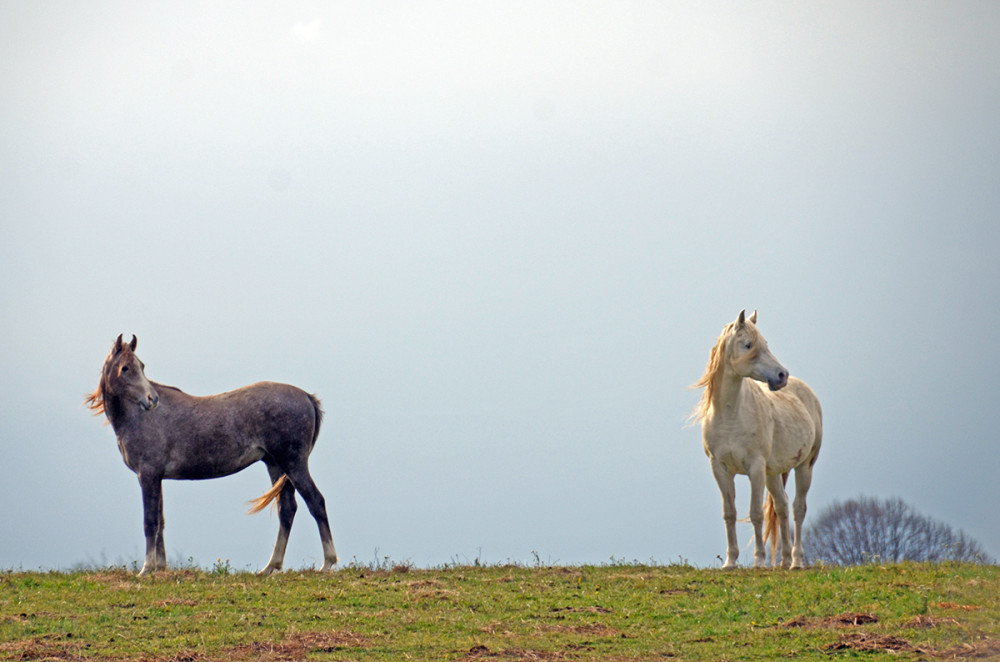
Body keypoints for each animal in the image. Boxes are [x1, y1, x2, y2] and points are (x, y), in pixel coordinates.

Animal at [692, 312, 824, 572]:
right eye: (748, 345)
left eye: (765, 344)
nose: (782, 375)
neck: (731, 414)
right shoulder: (720, 469)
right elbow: (729, 513)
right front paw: (730, 562)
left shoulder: (755, 467)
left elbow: (755, 514)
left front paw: (759, 561)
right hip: (773, 474)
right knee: (782, 506)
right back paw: (784, 560)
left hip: (805, 467)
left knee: (798, 509)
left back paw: (796, 561)